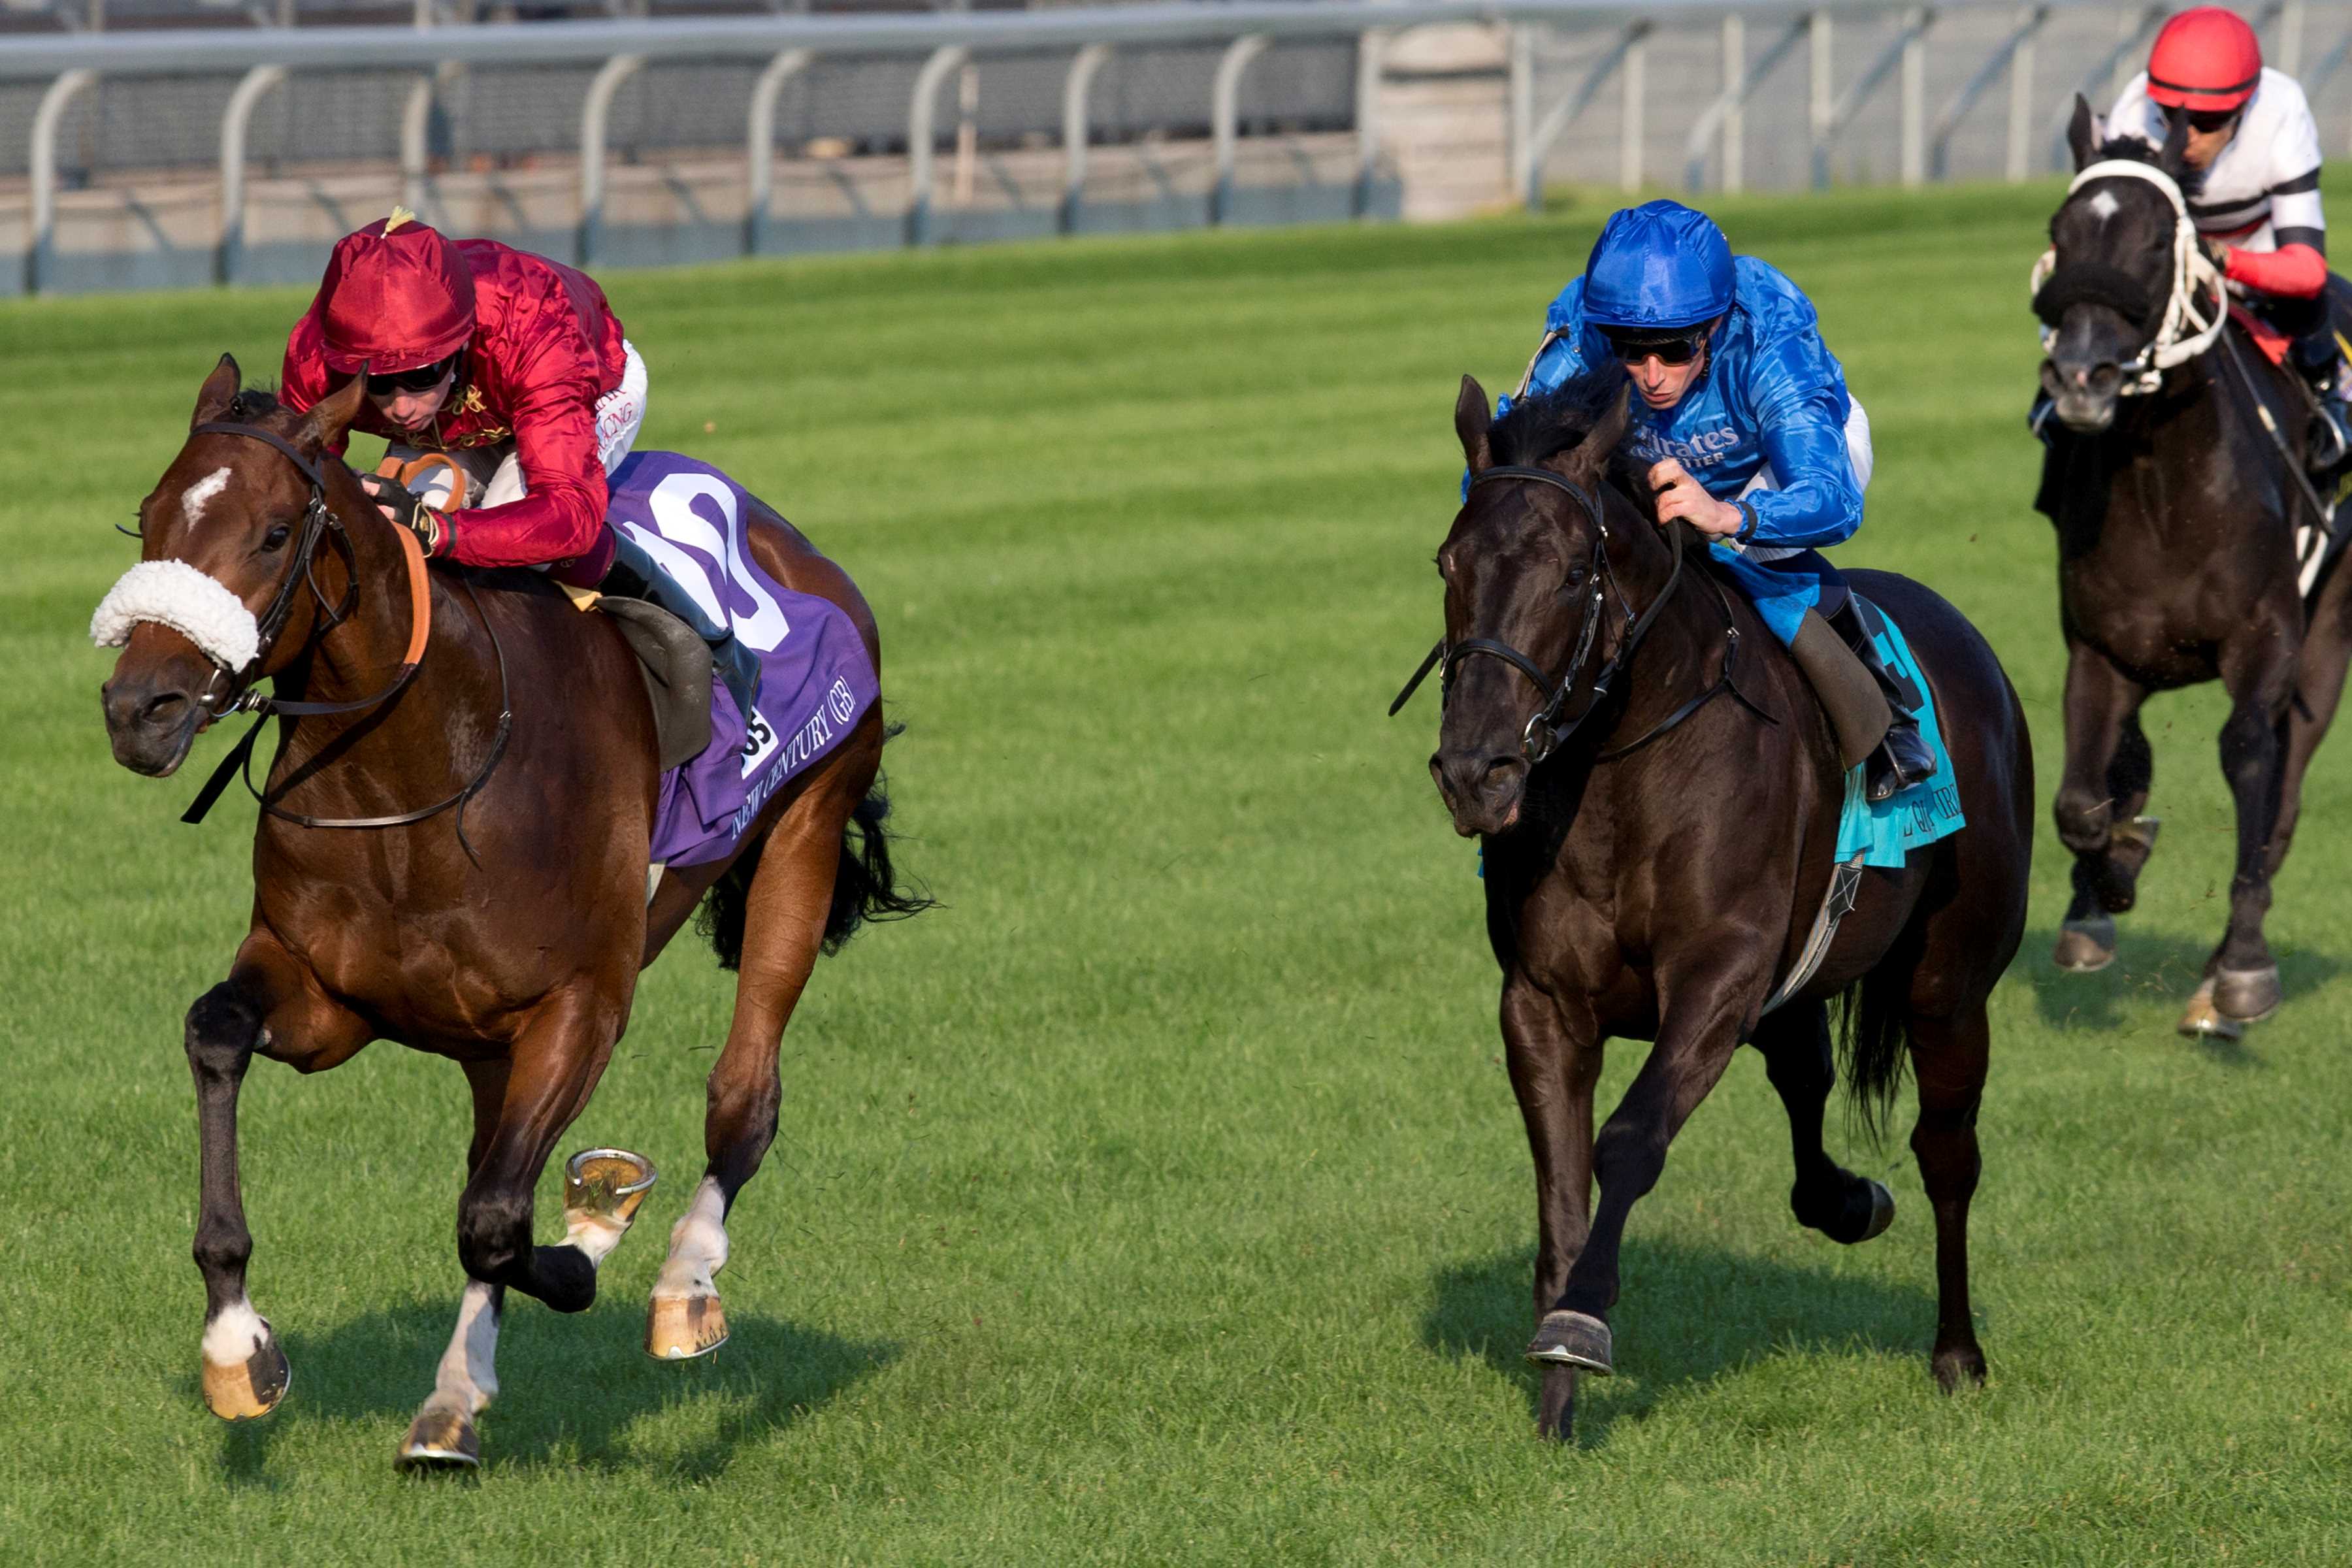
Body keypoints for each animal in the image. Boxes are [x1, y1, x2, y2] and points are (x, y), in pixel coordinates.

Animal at [101, 355, 926, 1476]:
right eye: (148, 518)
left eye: (273, 534)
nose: (137, 710)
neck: (418, 770)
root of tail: (791, 541)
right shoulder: (325, 998)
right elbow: (217, 1033)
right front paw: (237, 1345)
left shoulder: (579, 1007)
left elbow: (498, 1221)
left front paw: (595, 1234)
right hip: (485, 1039)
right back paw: (454, 1400)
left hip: (806, 821)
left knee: (742, 1100)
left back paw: (682, 1282)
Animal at [1411, 368, 2041, 1448]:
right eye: (1451, 561)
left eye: (1572, 570)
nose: (1475, 771)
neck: (1622, 770)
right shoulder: (1542, 1002)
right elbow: (1560, 1189)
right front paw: (1555, 1405)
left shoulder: (1716, 975)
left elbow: (1629, 1141)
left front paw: (1580, 1326)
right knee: (1805, 1077)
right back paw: (1845, 1202)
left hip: (1951, 985)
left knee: (1947, 1150)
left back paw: (1957, 1354)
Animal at [2032, 95, 2342, 1030]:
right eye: (2062, 230)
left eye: (2152, 239)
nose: (2082, 378)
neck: (2168, 494)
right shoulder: (2103, 650)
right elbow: (2083, 798)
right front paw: (2105, 888)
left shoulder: (2268, 636)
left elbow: (2250, 756)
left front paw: (2242, 968)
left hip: (2331, 634)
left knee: (2285, 789)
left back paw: (2219, 979)